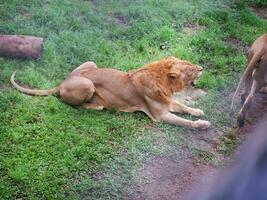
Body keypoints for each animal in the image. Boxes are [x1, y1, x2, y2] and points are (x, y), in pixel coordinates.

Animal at [10, 55, 211, 129]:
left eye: (191, 64)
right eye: (190, 70)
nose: (201, 68)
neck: (164, 83)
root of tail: (62, 83)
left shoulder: (168, 102)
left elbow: (184, 107)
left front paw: (198, 111)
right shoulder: (160, 115)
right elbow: (185, 122)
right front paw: (202, 124)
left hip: (91, 64)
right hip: (87, 84)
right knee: (71, 103)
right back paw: (97, 106)